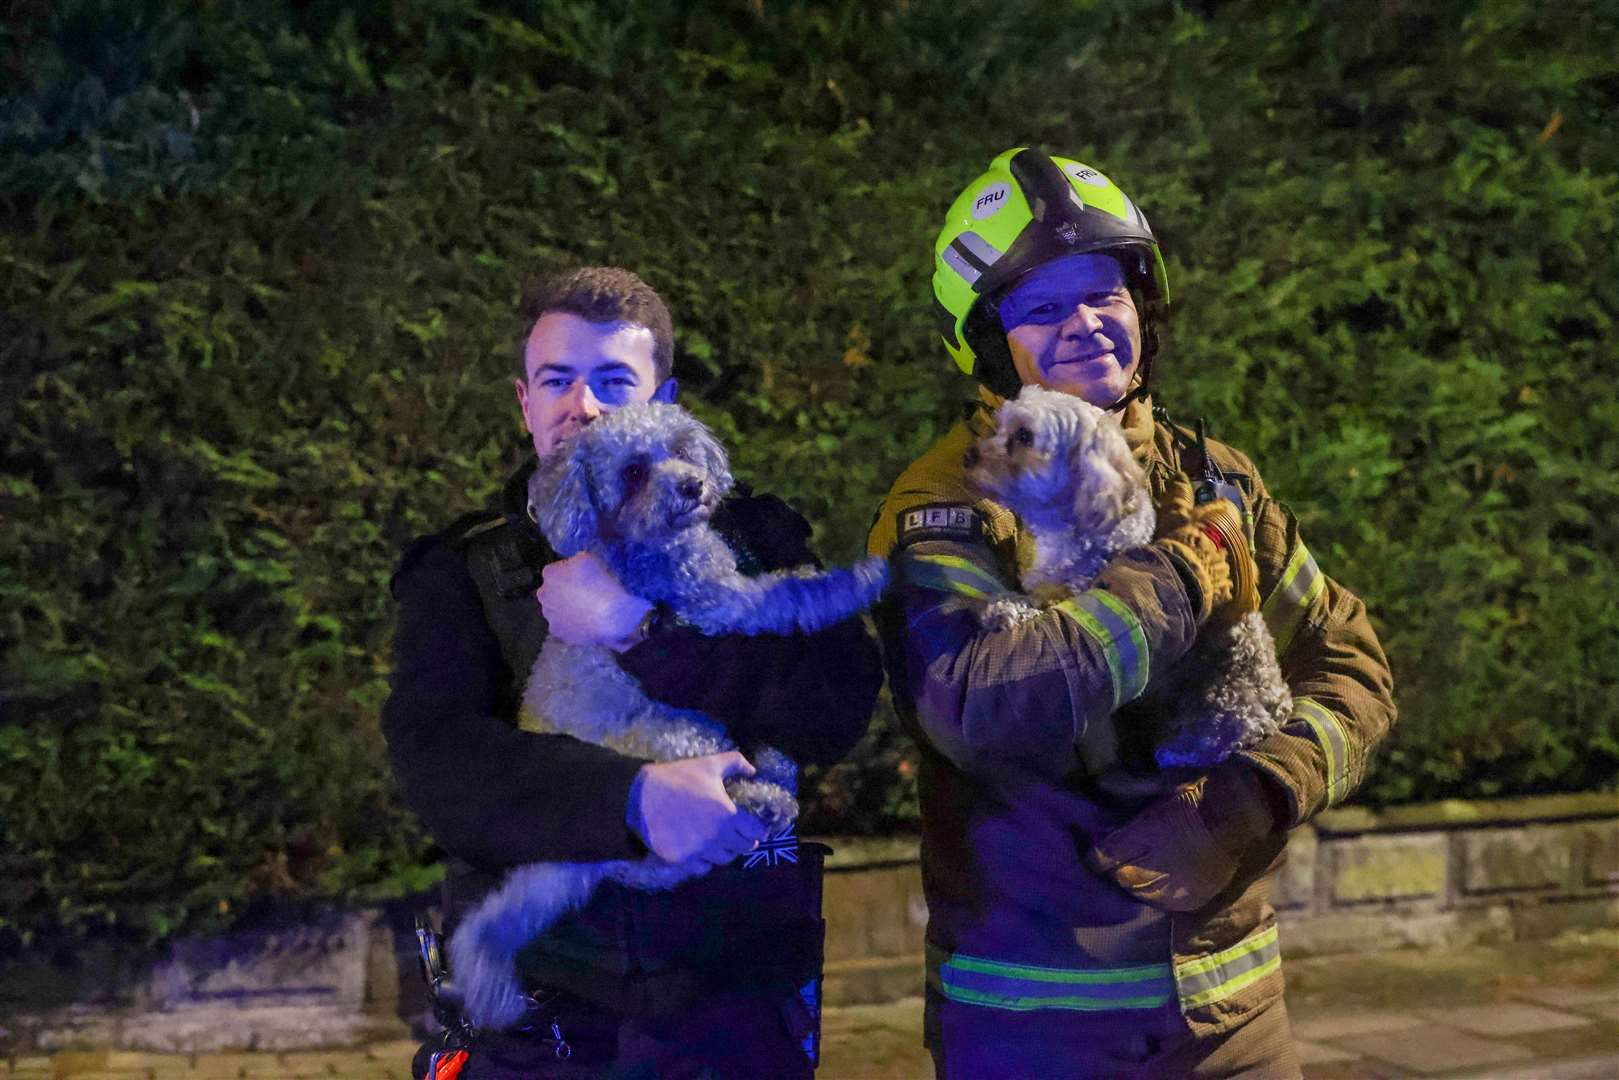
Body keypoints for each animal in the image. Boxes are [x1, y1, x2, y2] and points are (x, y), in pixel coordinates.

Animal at [450, 403, 893, 1029]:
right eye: (633, 472)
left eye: (682, 448)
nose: (691, 485)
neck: (654, 543)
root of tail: (573, 864)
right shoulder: (723, 603)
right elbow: (796, 594)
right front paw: (863, 578)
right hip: (682, 735)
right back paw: (764, 797)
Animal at [958, 383, 1288, 790]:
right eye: (1001, 425)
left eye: (1024, 436)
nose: (968, 456)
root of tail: (1279, 701)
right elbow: (1029, 595)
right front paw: (1002, 603)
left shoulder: (1074, 594)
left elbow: (1045, 610)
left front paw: (1007, 609)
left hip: (1227, 701)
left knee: (1225, 731)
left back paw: (1182, 747)